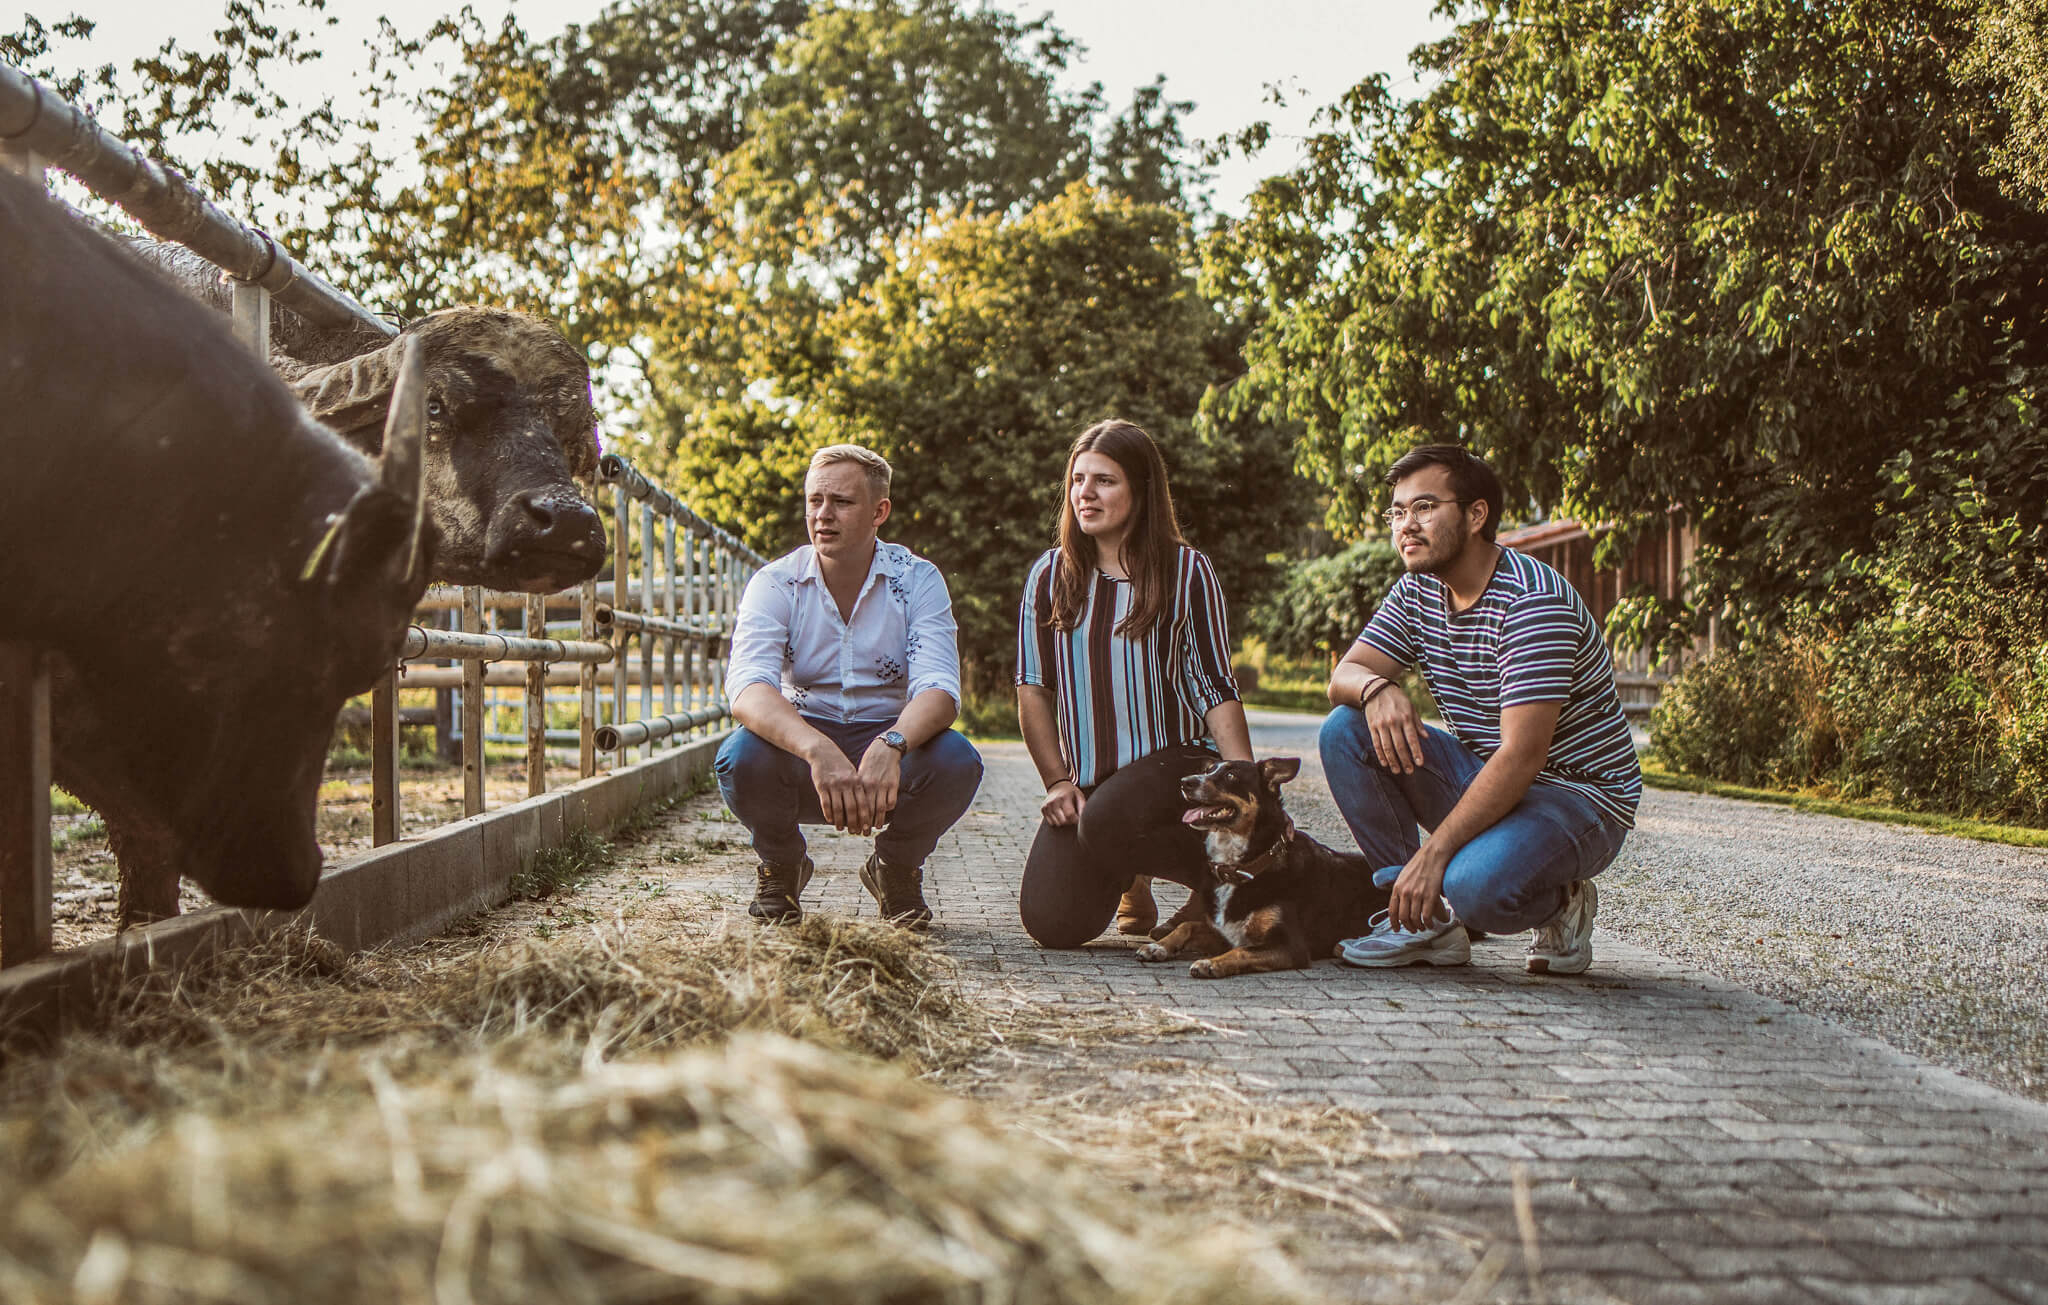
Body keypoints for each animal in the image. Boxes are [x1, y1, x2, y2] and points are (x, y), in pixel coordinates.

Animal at [1138, 753, 1392, 975]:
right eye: (1207, 770)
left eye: (1231, 775)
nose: (1185, 782)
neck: (1244, 867)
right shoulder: (1222, 933)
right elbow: (1188, 925)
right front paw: (1158, 946)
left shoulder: (1289, 946)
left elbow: (1242, 951)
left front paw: (1211, 964)